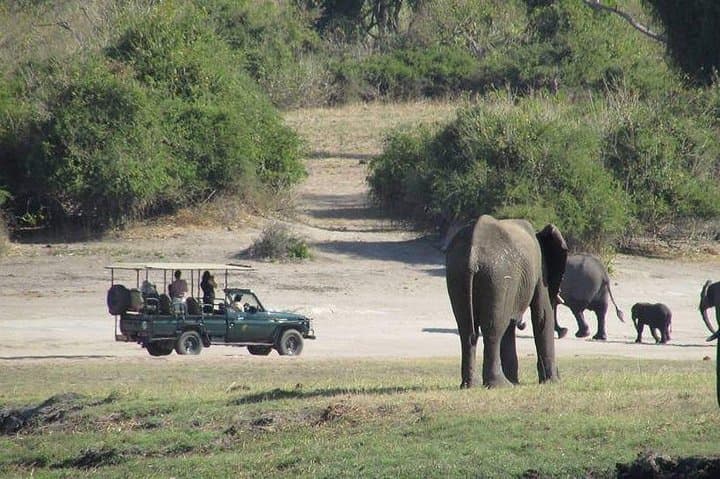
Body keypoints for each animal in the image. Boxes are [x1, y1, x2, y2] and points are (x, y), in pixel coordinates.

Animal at [445, 215, 568, 388]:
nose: (559, 376)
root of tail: (473, 254)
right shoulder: (540, 270)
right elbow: (542, 315)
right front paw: (552, 382)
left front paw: (517, 382)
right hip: (497, 276)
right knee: (495, 329)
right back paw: (500, 385)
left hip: (458, 272)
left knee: (467, 329)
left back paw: (471, 385)